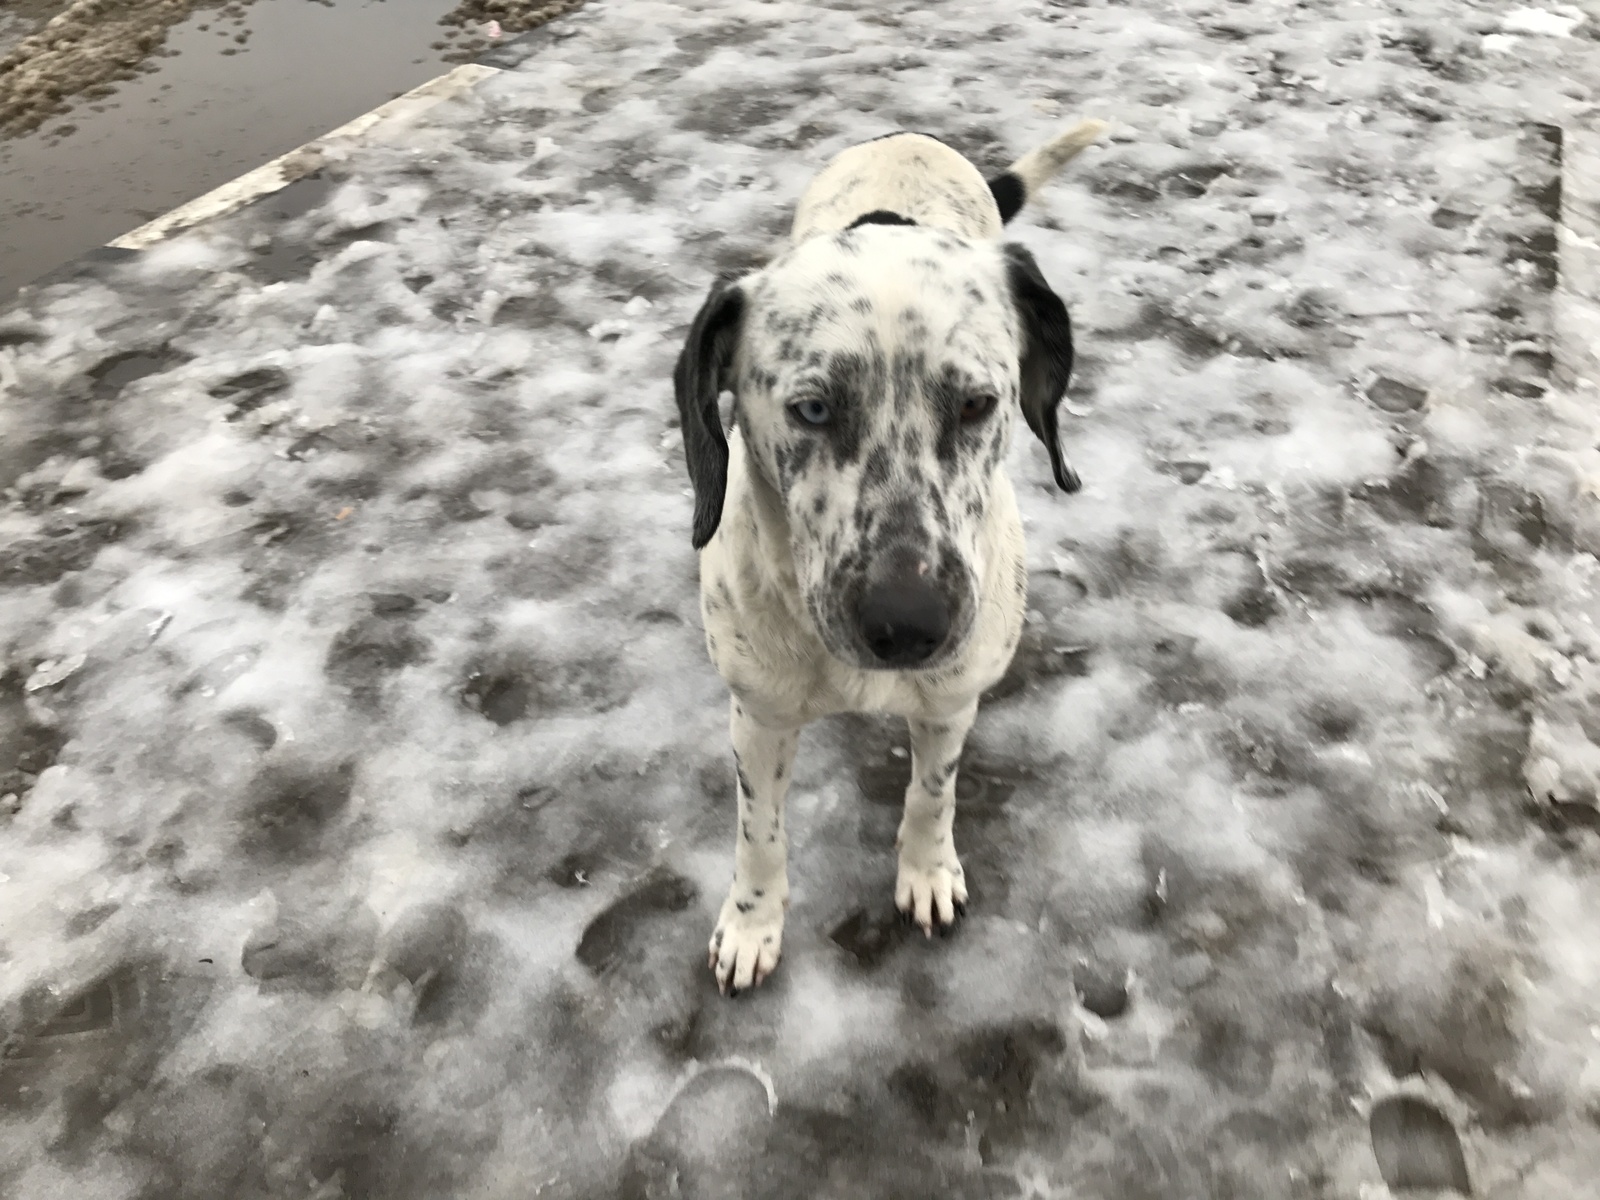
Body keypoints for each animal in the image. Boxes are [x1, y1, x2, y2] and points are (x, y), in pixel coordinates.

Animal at [668, 117, 1107, 998]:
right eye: (810, 408)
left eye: (978, 403)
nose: (908, 625)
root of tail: (910, 137)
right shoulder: (758, 716)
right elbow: (758, 831)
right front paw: (753, 924)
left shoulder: (948, 705)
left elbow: (932, 796)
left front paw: (927, 872)